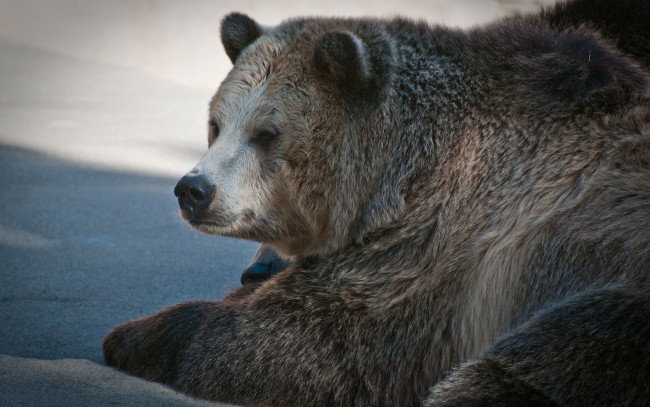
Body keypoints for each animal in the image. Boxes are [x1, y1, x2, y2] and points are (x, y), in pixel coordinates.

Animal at [104, 1, 648, 406]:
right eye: (216, 124)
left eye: (266, 133)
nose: (194, 189)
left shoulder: (437, 247)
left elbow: (309, 339)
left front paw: (135, 334)